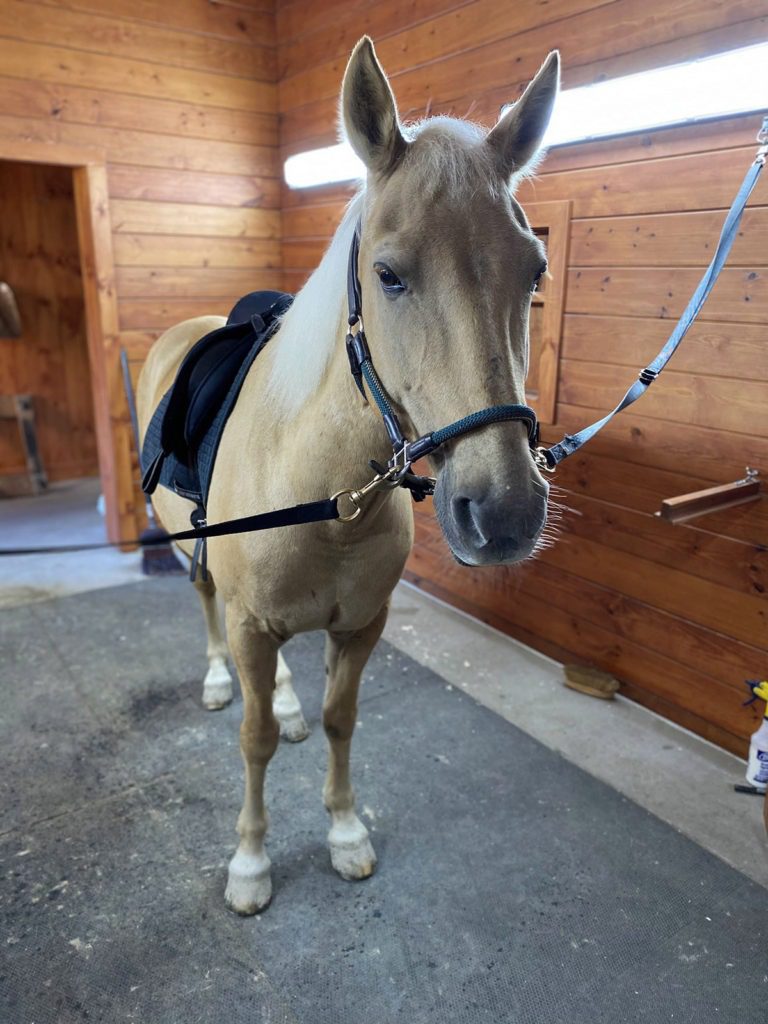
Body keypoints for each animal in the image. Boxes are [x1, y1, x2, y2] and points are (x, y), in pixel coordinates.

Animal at [137, 37, 559, 915]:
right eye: (389, 275)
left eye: (534, 270)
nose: (504, 511)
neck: (328, 499)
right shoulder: (253, 624)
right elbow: (254, 739)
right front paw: (251, 862)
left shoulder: (360, 627)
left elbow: (340, 721)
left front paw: (343, 832)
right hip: (199, 563)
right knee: (208, 609)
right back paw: (220, 681)